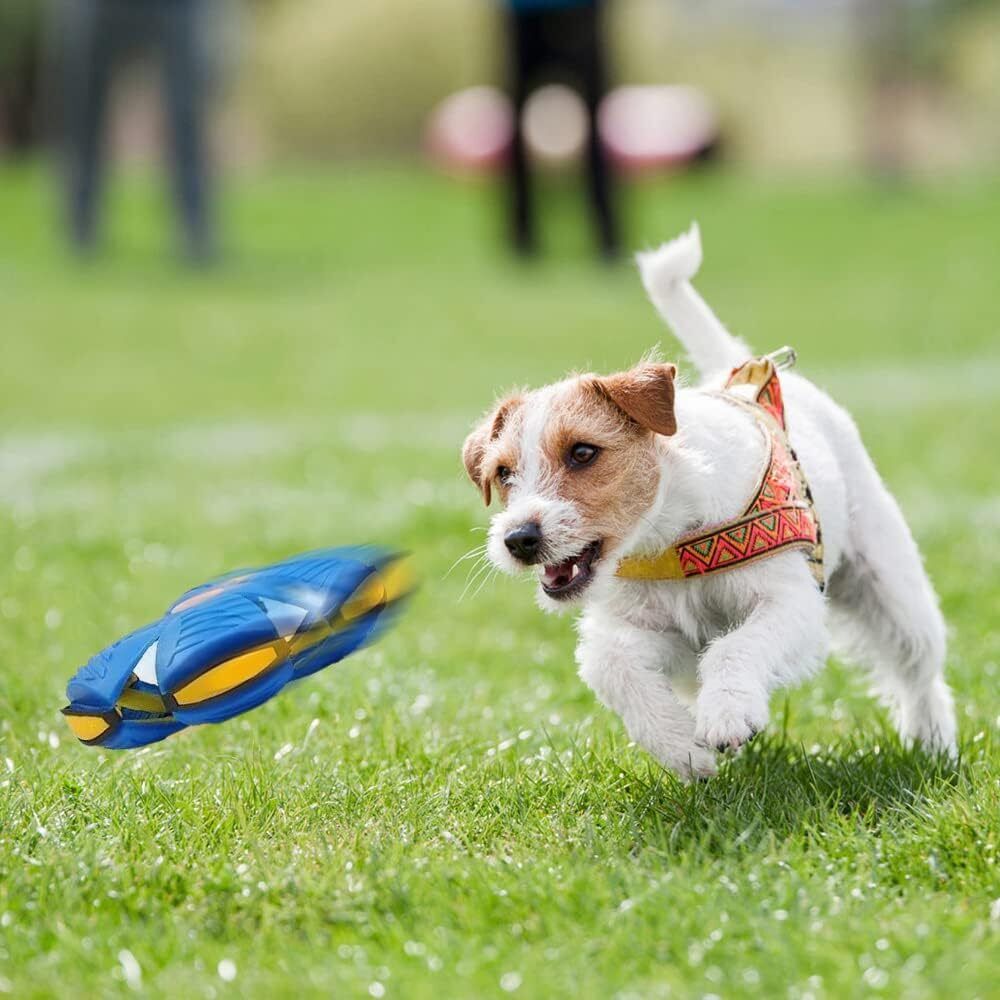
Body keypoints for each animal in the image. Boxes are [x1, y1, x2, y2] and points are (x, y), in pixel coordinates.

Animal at [464, 227, 956, 780]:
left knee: (920, 670)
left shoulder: (790, 603)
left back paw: (933, 742)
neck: (672, 536)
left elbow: (735, 647)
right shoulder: (652, 632)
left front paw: (727, 716)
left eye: (583, 452)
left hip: (892, 587)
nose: (518, 539)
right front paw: (682, 746)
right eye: (503, 473)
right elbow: (611, 665)